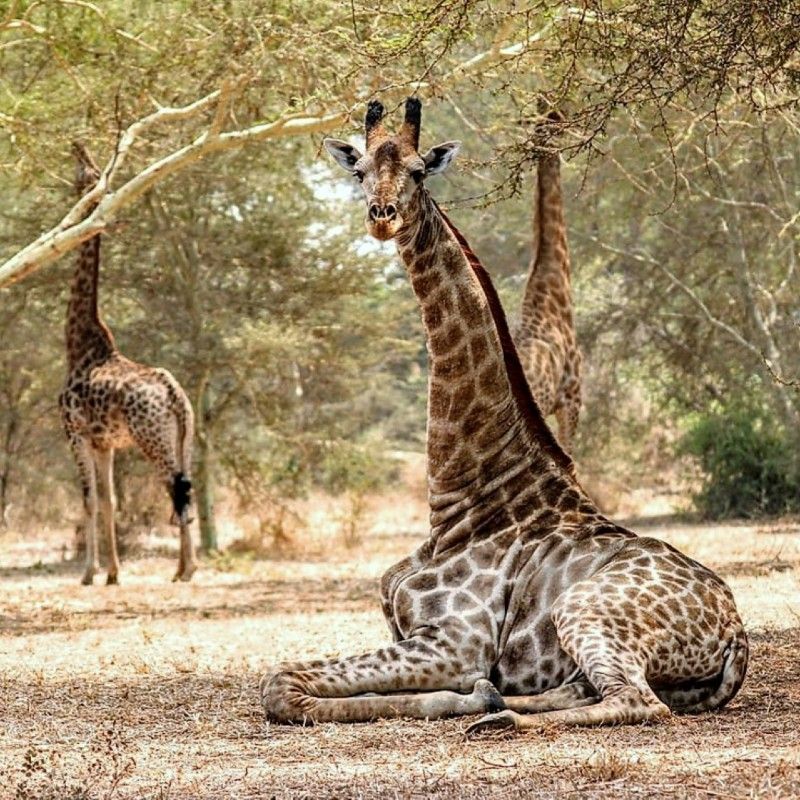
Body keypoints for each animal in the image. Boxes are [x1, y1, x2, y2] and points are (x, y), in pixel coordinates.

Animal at [59, 143, 197, 586]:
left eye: (83, 170)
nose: (76, 146)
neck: (78, 344)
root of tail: (174, 394)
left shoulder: (76, 434)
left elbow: (88, 501)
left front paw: (88, 574)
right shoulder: (105, 443)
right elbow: (110, 502)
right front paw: (113, 573)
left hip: (151, 437)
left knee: (176, 486)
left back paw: (187, 570)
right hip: (182, 436)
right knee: (186, 485)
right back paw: (183, 567)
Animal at [259, 98, 747, 732]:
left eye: (419, 170)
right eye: (359, 171)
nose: (382, 217)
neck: (460, 501)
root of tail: (737, 632)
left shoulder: (456, 640)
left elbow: (281, 683)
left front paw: (469, 698)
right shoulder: (419, 635)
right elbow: (289, 681)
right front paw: (474, 694)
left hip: (584, 608)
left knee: (637, 700)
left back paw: (498, 716)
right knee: (585, 689)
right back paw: (501, 701)